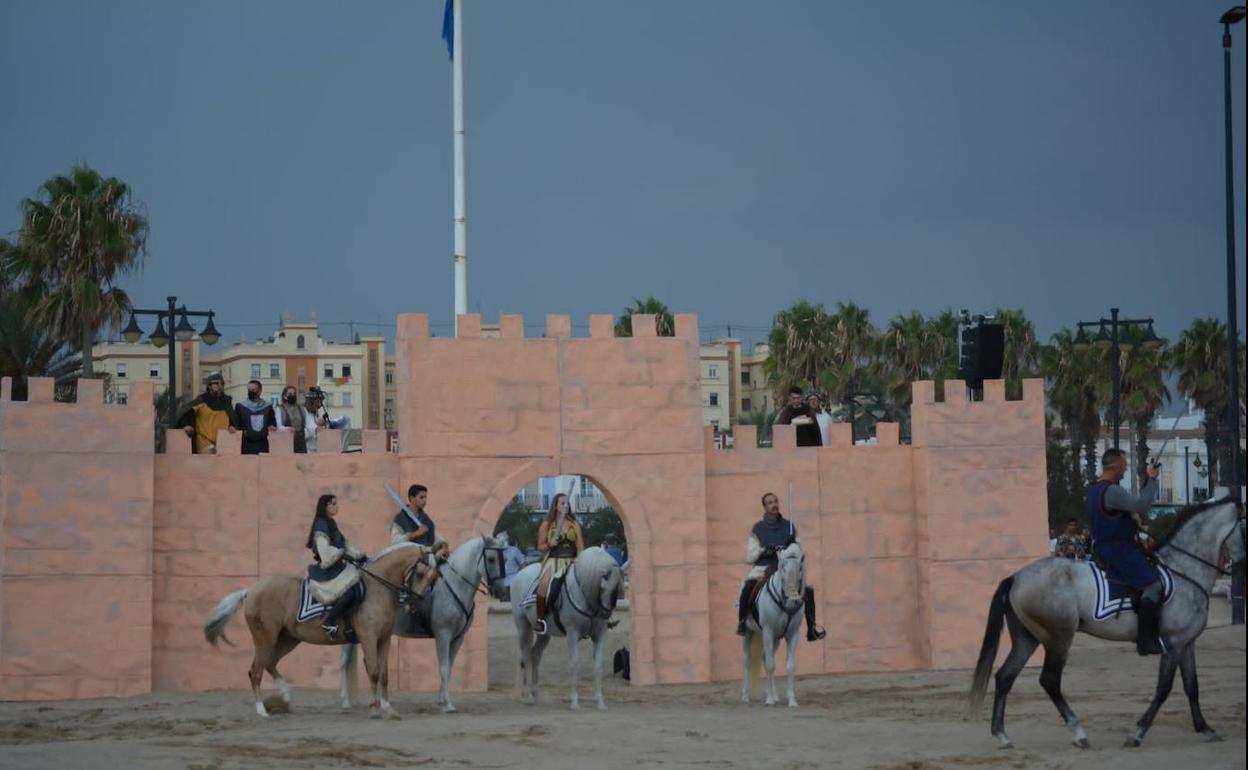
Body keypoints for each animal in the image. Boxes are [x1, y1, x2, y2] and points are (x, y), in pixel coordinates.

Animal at [204, 544, 439, 718]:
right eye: (420, 573)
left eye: (434, 577)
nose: (415, 604)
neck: (377, 589)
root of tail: (251, 590)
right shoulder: (369, 638)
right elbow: (373, 671)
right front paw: (374, 708)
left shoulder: (384, 639)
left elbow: (384, 674)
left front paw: (388, 707)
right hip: (266, 638)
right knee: (256, 671)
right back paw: (262, 711)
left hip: (288, 639)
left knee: (270, 664)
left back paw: (285, 697)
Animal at [341, 531, 506, 713]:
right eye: (491, 559)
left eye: (504, 558)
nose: (501, 590)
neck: (454, 587)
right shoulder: (443, 635)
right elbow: (444, 667)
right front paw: (447, 704)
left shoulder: (458, 638)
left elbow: (449, 668)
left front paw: (442, 700)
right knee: (345, 662)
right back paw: (347, 702)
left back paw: (379, 703)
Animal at [509, 546, 621, 708]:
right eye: (603, 586)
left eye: (617, 590)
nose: (606, 614)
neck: (583, 594)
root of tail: (520, 574)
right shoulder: (572, 633)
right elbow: (574, 664)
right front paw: (574, 702)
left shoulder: (600, 634)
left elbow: (598, 665)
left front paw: (600, 702)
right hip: (523, 627)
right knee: (524, 657)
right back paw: (525, 695)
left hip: (544, 634)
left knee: (535, 655)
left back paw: (534, 695)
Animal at [738, 536, 808, 703]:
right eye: (782, 567)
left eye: (800, 567)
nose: (792, 601)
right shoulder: (768, 631)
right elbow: (771, 665)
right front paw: (769, 700)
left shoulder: (792, 634)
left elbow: (789, 666)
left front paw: (791, 700)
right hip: (749, 634)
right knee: (748, 661)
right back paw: (746, 696)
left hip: (775, 638)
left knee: (765, 657)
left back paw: (774, 695)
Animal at [968, 496, 1243, 748]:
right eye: (1244, 525)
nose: (1239, 563)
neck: (1184, 571)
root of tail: (1016, 577)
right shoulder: (1173, 644)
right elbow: (1164, 689)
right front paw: (1137, 733)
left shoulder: (1187, 643)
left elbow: (1192, 686)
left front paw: (1205, 728)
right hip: (1058, 638)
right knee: (1049, 680)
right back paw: (1078, 733)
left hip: (1028, 639)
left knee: (1005, 677)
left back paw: (1002, 735)